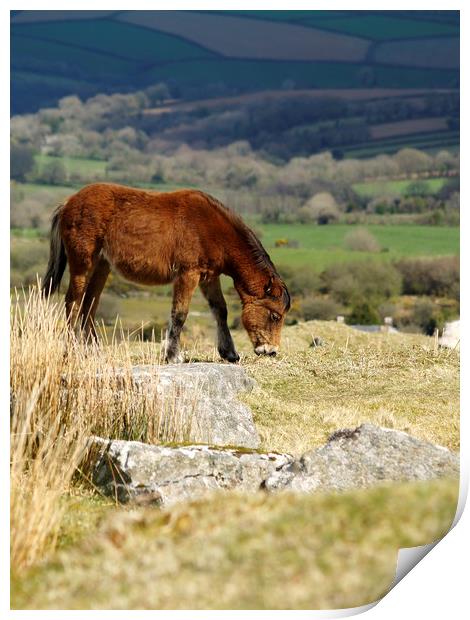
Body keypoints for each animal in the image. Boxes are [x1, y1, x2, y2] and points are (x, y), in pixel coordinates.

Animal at [43, 182, 290, 360]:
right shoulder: (188, 274)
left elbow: (220, 310)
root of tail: (69, 202)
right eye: (275, 316)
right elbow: (179, 314)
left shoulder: (209, 278)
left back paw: (93, 352)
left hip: (102, 266)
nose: (271, 351)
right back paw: (71, 350)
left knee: (89, 306)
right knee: (73, 303)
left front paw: (229, 353)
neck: (211, 228)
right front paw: (172, 355)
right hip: (83, 264)